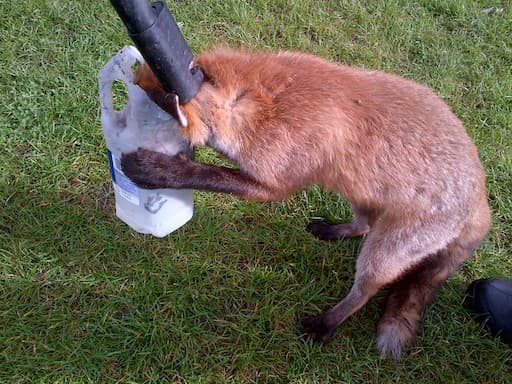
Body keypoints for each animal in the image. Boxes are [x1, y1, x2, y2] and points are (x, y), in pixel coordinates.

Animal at [121, 48, 492, 360]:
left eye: (148, 101)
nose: (118, 115)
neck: (260, 103)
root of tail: (482, 195)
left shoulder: (272, 182)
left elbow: (210, 175)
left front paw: (160, 171)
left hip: (386, 252)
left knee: (365, 291)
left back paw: (327, 323)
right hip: (358, 194)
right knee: (364, 224)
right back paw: (334, 231)